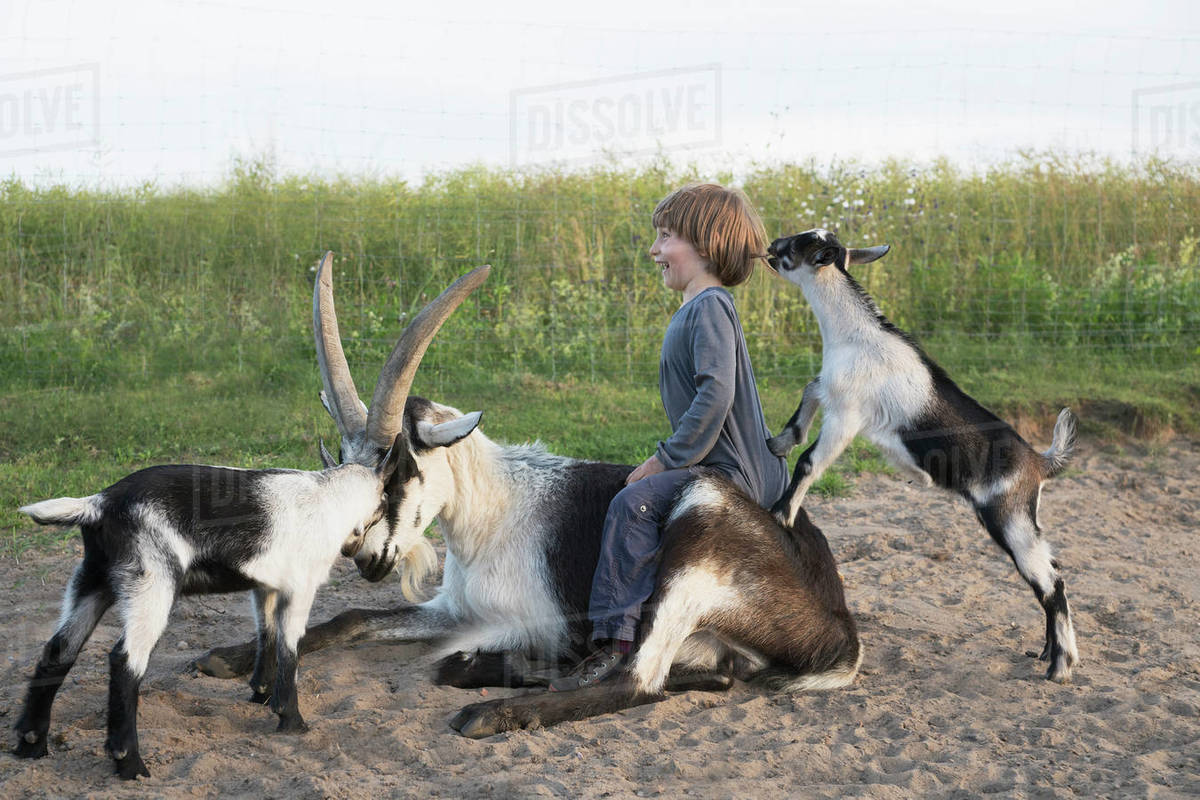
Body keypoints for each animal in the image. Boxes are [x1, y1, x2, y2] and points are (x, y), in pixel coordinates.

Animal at [14, 448, 401, 779]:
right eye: (385, 501)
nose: (359, 552)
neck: (326, 497)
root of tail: (100, 503)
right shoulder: (301, 587)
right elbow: (290, 646)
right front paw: (291, 720)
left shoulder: (266, 585)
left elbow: (267, 633)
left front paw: (261, 694)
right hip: (150, 581)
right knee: (125, 661)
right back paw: (131, 764)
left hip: (92, 580)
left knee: (59, 649)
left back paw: (31, 744)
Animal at [194, 253, 860, 736]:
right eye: (346, 464)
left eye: (398, 468)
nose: (364, 557)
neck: (498, 511)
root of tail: (837, 625)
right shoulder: (455, 609)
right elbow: (353, 620)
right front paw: (228, 659)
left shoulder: (531, 622)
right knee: (716, 671)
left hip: (698, 531)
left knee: (637, 679)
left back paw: (492, 711)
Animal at [764, 229, 1079, 682]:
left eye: (800, 245)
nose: (771, 248)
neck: (854, 335)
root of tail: (1039, 462)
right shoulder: (832, 392)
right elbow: (810, 389)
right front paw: (780, 441)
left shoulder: (847, 416)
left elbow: (809, 462)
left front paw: (780, 514)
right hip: (1024, 521)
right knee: (1051, 571)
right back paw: (1046, 653)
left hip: (1009, 518)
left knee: (1051, 582)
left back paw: (1060, 667)